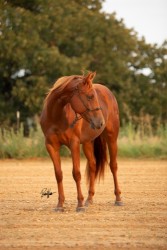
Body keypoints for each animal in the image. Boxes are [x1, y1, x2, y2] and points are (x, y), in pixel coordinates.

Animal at [39, 72, 122, 211]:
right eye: (90, 96)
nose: (100, 122)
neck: (57, 116)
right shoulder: (51, 146)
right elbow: (58, 174)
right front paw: (60, 205)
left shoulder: (74, 144)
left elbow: (76, 174)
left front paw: (80, 205)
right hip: (88, 143)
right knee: (93, 165)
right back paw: (89, 199)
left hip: (112, 137)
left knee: (113, 166)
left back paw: (118, 199)